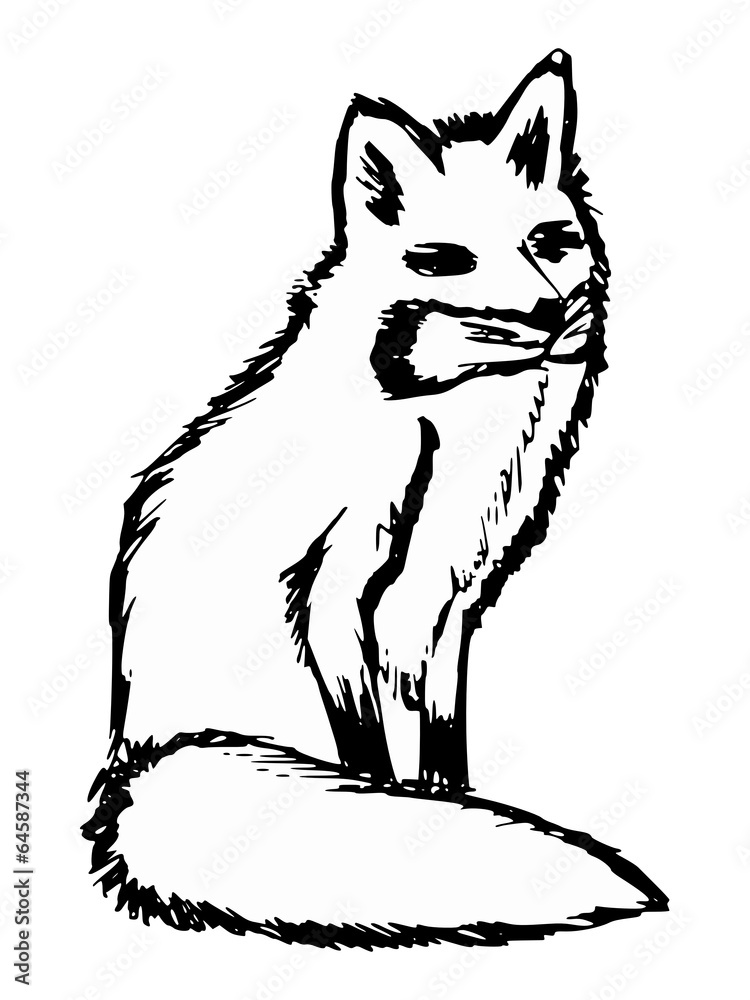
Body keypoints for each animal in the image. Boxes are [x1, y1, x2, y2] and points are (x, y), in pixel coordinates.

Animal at [84, 50, 665, 946]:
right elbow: (370, 756)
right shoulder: (331, 588)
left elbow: (440, 750)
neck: (450, 419)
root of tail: (139, 756)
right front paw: (411, 828)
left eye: (549, 242)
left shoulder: (446, 607)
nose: (546, 314)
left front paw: (452, 814)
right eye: (445, 260)